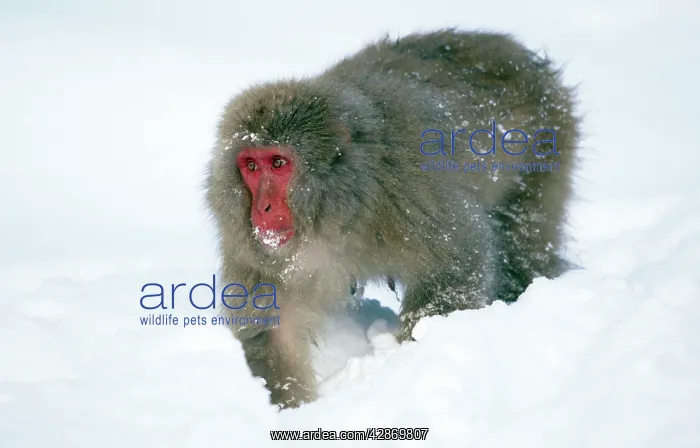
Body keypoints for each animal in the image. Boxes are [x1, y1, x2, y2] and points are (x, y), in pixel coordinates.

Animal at [204, 28, 580, 409]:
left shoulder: (407, 190)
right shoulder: (251, 248)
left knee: (524, 247)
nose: (262, 208)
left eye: (279, 163)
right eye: (251, 166)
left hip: (545, 150)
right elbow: (274, 330)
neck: (339, 210)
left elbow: (455, 267)